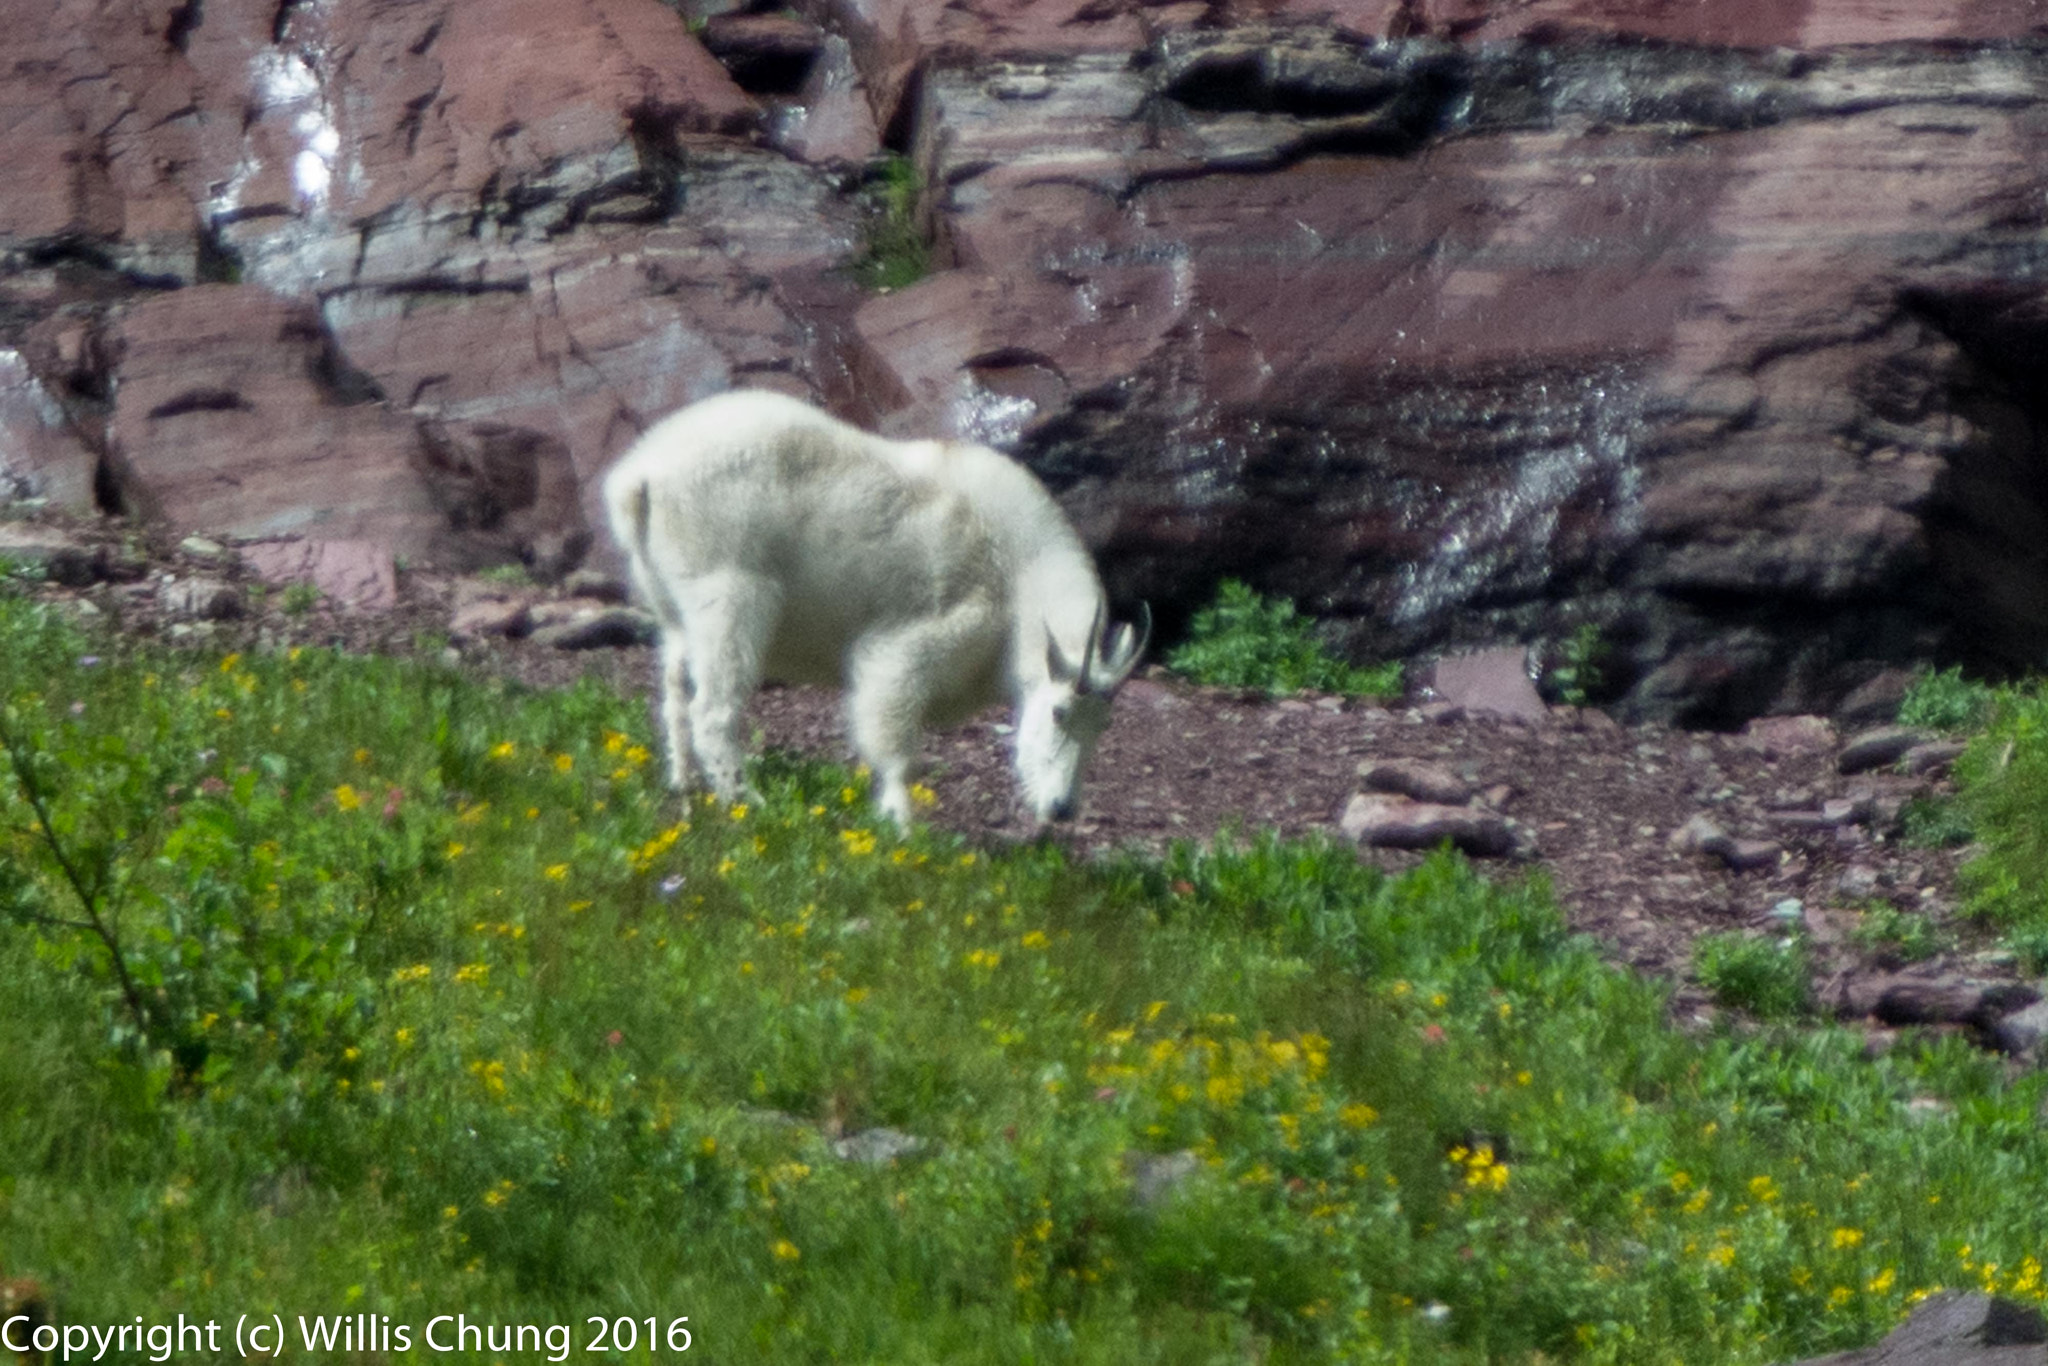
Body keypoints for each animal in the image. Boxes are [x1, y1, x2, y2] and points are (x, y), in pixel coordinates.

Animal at [602, 389, 1155, 827]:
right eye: (1059, 712)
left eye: (1103, 724)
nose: (1061, 809)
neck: (1017, 579)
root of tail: (639, 479)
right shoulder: (915, 645)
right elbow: (896, 745)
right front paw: (903, 827)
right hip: (731, 597)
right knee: (713, 709)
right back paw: (747, 802)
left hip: (676, 609)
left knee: (675, 695)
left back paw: (684, 788)